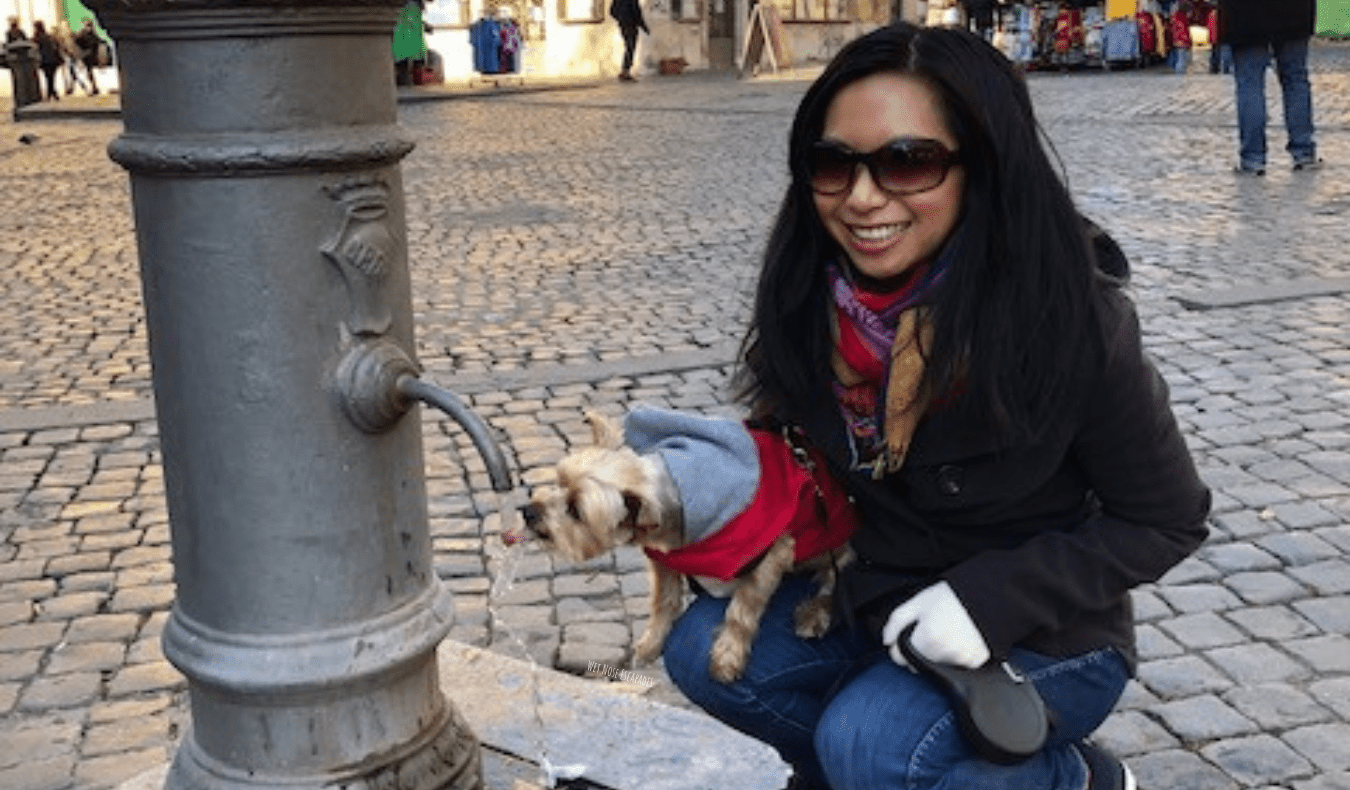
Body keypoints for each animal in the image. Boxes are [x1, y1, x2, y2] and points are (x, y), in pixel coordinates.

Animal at [515, 410, 853, 680]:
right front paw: (651, 644)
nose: (528, 511)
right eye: (558, 481)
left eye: (576, 510)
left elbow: (742, 609)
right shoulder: (664, 559)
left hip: (839, 548)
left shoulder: (773, 553)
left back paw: (814, 613)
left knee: (834, 581)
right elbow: (663, 601)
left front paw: (728, 655)